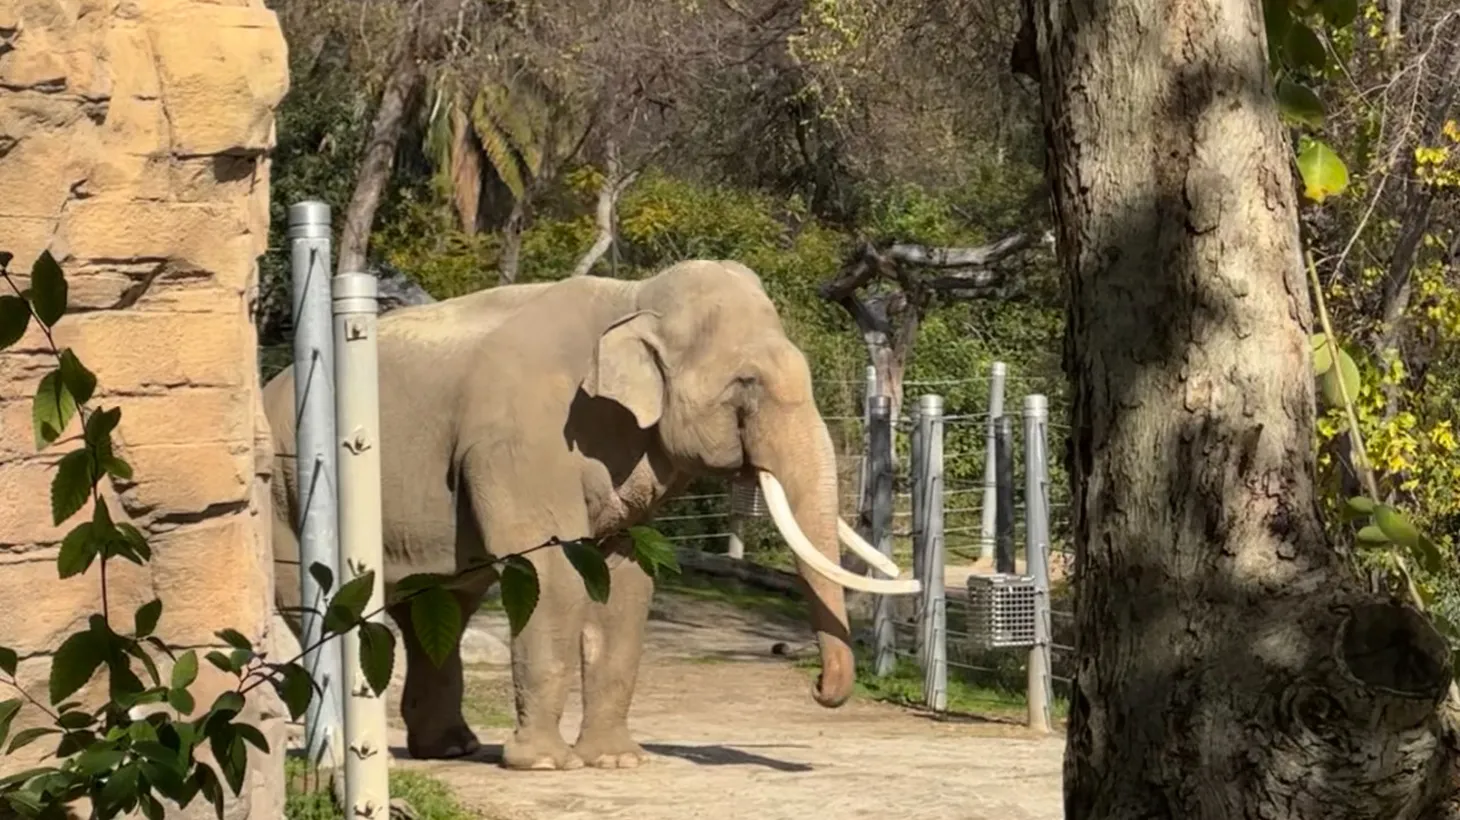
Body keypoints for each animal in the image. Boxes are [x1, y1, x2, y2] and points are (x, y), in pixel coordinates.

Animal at [259, 259, 922, 764]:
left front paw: (617, 761)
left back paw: (450, 749)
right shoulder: (523, 442)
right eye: (746, 383)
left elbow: (626, 580)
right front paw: (546, 765)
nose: (817, 686)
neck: (634, 297)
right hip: (288, 488)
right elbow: (551, 574)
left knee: (442, 604)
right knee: (319, 601)